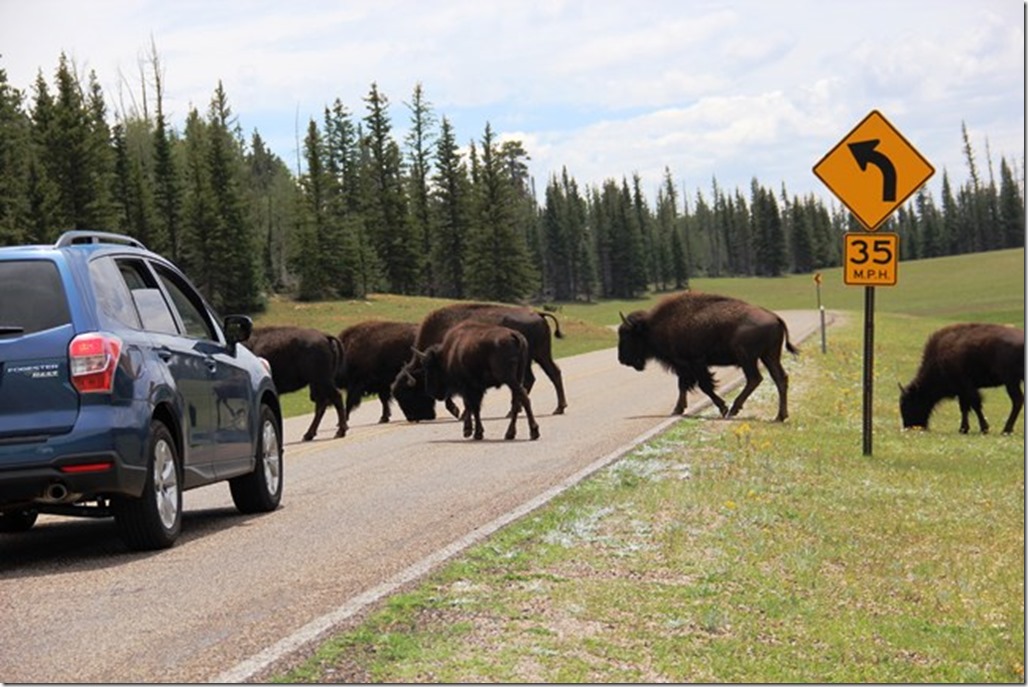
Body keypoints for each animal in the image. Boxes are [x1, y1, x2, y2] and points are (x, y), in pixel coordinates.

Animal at [388, 302, 567, 421]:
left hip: (536, 356)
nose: (413, 417)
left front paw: (458, 413)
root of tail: (538, 314)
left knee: (545, 375)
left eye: (407, 393)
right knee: (546, 375)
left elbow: (452, 396)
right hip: (537, 357)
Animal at [392, 320, 542, 440]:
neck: (449, 353)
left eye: (429, 367)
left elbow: (471, 406)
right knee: (517, 400)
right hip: (517, 377)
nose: (431, 391)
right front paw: (473, 431)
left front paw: (472, 432)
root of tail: (514, 335)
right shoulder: (475, 389)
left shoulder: (467, 387)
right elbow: (474, 407)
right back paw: (510, 434)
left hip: (509, 378)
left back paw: (533, 432)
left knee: (522, 397)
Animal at [616, 287, 793, 421]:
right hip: (769, 356)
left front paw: (723, 408)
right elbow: (683, 386)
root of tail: (775, 317)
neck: (653, 326)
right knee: (780, 378)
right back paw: (780, 416)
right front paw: (677, 409)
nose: (622, 359)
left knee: (755, 378)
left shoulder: (695, 363)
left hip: (748, 358)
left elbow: (704, 386)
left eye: (627, 335)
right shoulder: (684, 367)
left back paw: (733, 410)